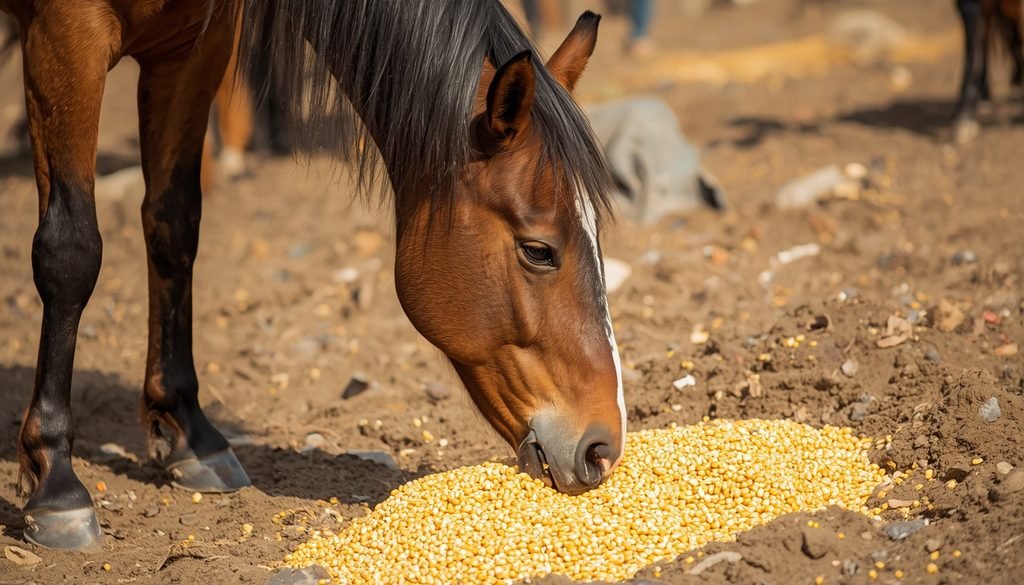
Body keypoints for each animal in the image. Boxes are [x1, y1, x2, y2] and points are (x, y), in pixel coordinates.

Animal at [0, 0, 625, 550]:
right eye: (538, 250)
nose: (602, 447)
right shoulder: (63, 38)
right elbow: (71, 251)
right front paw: (54, 483)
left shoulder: (193, 48)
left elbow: (173, 226)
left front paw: (187, 434)